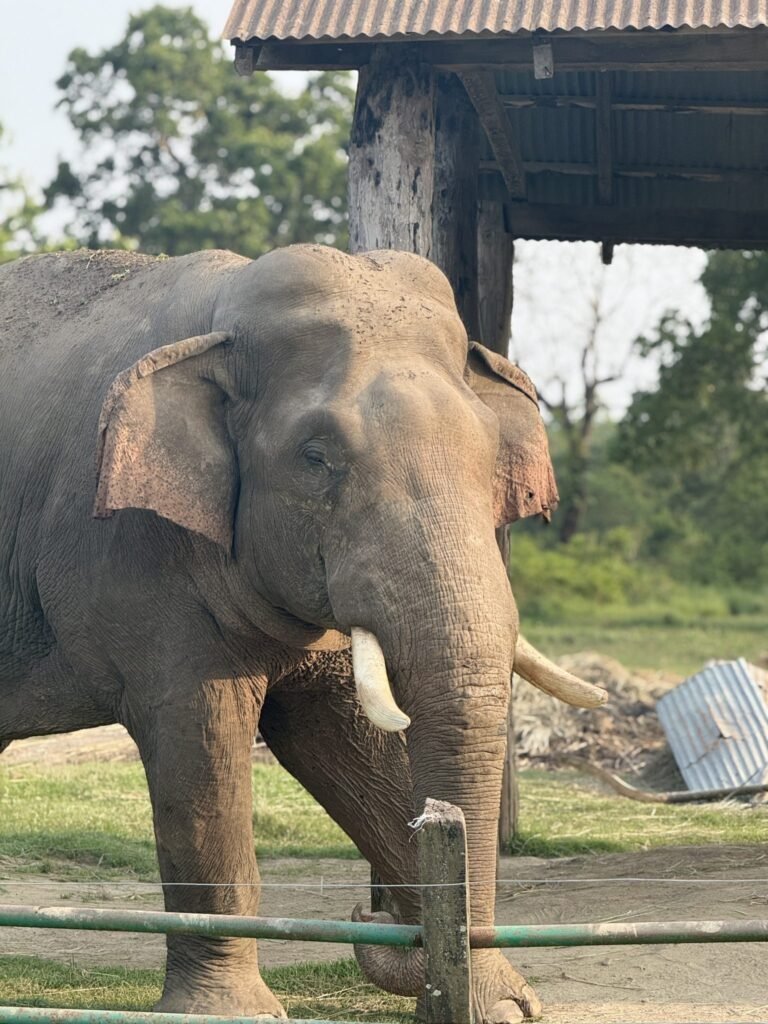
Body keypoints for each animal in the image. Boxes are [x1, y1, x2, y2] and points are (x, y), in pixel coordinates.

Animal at [0, 245, 606, 1023]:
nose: (370, 917)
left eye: (489, 452)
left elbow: (351, 745)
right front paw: (233, 1013)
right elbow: (200, 748)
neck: (222, 312)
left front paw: (502, 1005)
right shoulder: (133, 551)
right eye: (316, 457)